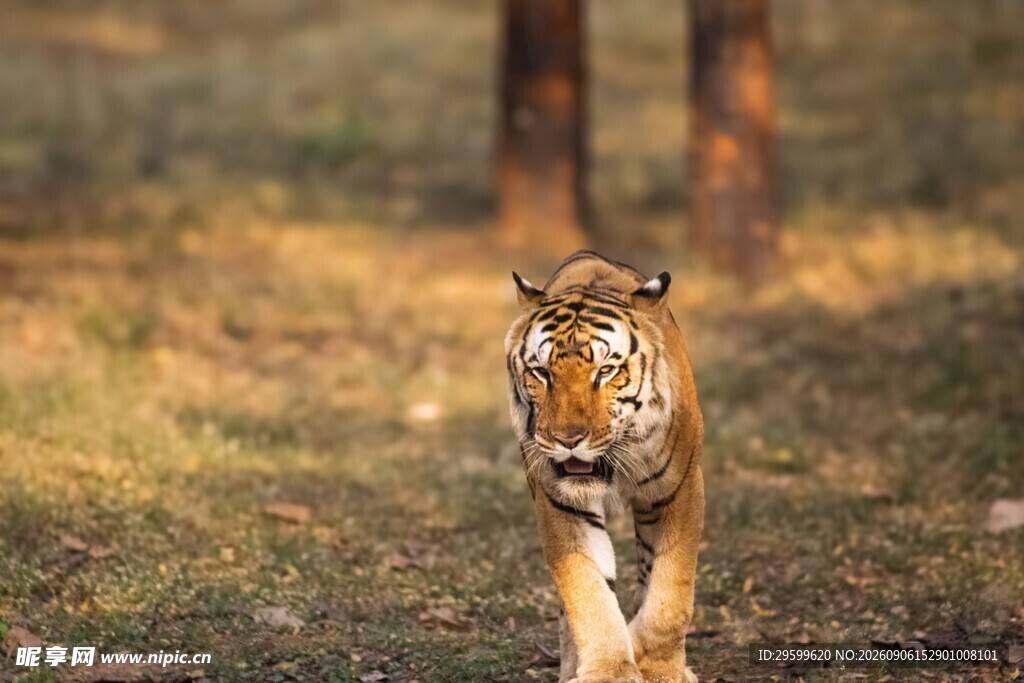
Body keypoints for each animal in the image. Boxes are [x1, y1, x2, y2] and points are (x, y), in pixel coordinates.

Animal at [505, 250, 705, 683]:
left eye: (606, 371)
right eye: (542, 373)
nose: (567, 439)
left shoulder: (680, 489)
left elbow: (670, 590)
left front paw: (660, 667)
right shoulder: (561, 503)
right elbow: (588, 591)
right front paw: (609, 671)